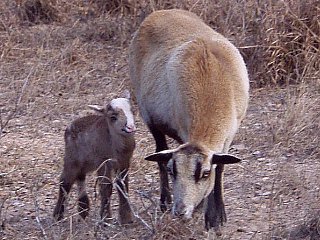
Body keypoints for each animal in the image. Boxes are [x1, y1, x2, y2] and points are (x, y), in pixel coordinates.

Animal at [53, 92, 136, 225]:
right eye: (113, 117)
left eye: (132, 110)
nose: (130, 127)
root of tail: (70, 126)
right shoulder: (103, 161)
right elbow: (106, 187)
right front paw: (106, 219)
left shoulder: (124, 161)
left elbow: (122, 185)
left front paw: (126, 219)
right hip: (72, 158)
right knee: (65, 182)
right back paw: (58, 216)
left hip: (84, 163)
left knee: (80, 177)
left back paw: (83, 210)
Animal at [128, 9, 250, 232]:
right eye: (173, 171)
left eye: (204, 173)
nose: (180, 211)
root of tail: (160, 12)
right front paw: (208, 214)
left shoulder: (229, 136)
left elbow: (220, 170)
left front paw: (216, 215)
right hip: (148, 115)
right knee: (160, 152)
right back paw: (165, 201)